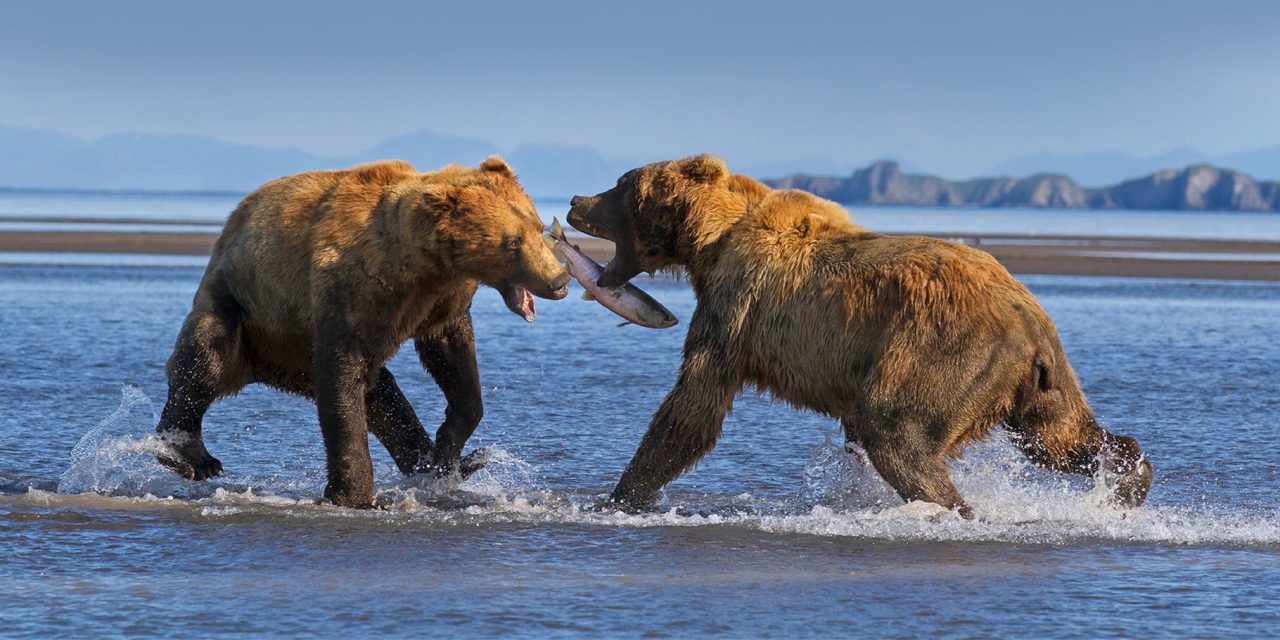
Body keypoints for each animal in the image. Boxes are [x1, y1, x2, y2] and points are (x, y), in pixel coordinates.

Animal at [156, 157, 569, 508]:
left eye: (538, 227)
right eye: (512, 242)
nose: (560, 280)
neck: (422, 265)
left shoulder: (442, 299)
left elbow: (454, 362)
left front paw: (445, 450)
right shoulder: (355, 291)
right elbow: (343, 372)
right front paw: (354, 494)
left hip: (293, 354)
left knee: (382, 396)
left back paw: (435, 463)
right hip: (243, 309)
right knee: (205, 360)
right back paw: (190, 455)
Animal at [567, 155, 1153, 518]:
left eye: (620, 184)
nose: (575, 199)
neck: (710, 240)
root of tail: (1029, 321)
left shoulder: (735, 307)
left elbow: (694, 406)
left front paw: (617, 496)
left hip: (944, 350)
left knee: (897, 430)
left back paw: (950, 506)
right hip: (1038, 381)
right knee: (1058, 439)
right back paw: (1129, 480)